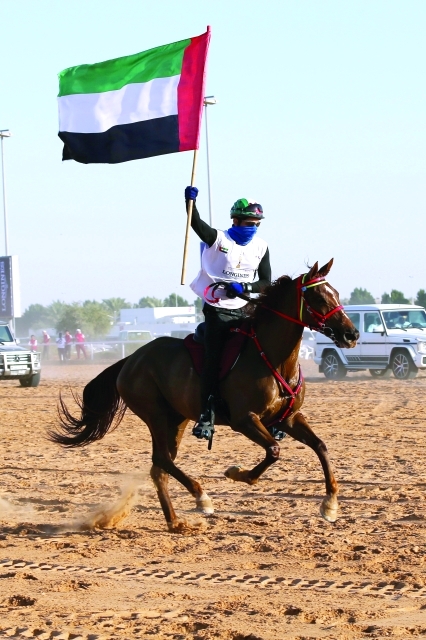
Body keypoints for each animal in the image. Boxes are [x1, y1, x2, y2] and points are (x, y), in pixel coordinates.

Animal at [51, 258, 362, 532]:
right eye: (318, 298)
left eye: (335, 293)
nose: (352, 334)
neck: (271, 357)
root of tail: (131, 360)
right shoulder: (245, 420)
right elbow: (274, 450)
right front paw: (238, 473)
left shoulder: (289, 418)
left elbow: (320, 446)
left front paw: (330, 503)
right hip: (156, 416)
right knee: (162, 460)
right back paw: (201, 497)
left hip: (177, 420)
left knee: (159, 467)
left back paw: (175, 522)